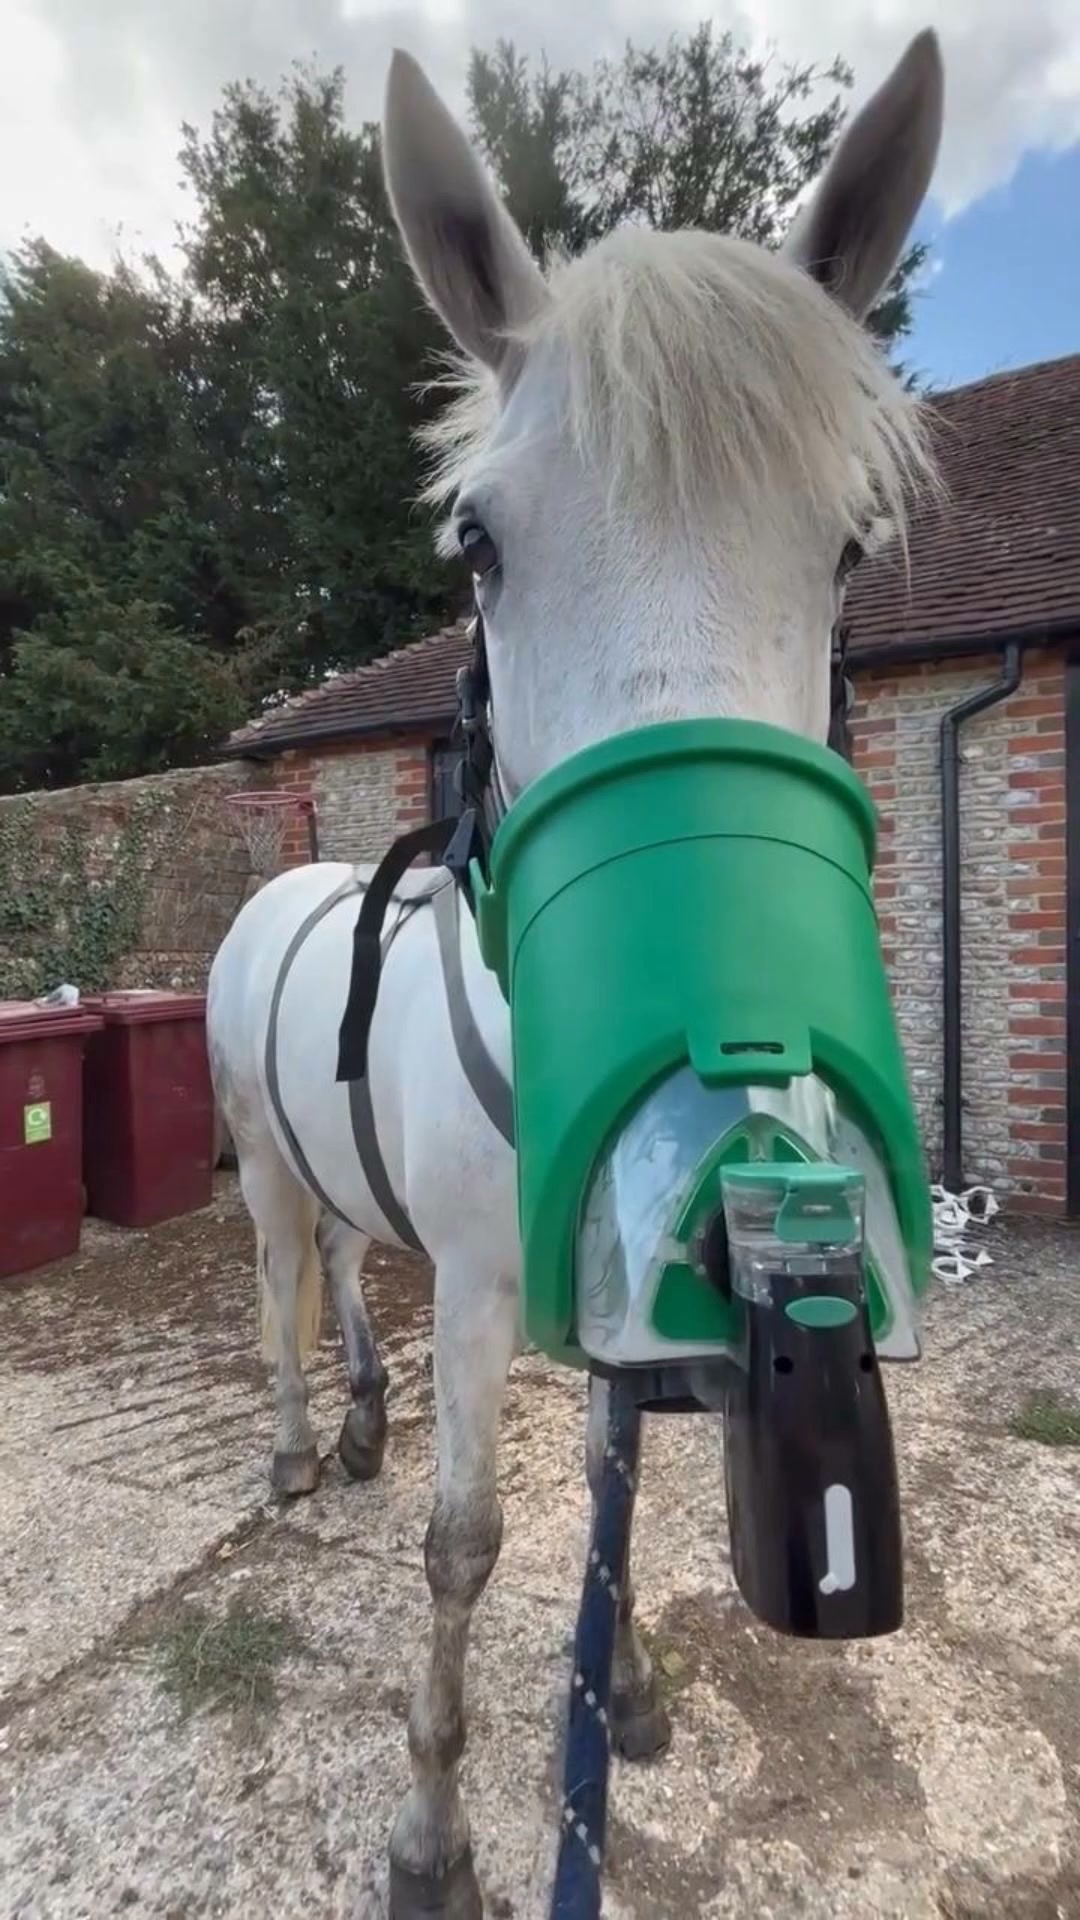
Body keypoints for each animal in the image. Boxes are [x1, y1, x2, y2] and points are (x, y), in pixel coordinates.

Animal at [207, 33, 943, 1917]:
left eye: (849, 546)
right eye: (476, 542)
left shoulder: (617, 1273)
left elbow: (615, 1511)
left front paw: (631, 1691)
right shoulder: (483, 1288)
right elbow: (469, 1546)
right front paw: (432, 1837)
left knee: (342, 1251)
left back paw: (362, 1418)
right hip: (258, 1165)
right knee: (283, 1280)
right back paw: (300, 1448)